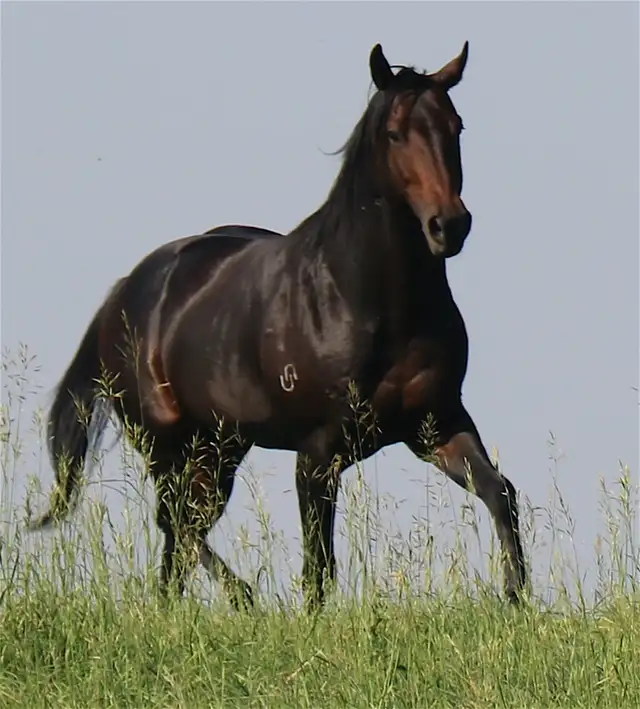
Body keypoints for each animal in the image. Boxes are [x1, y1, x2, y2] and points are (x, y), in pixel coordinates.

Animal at [28, 42, 527, 609]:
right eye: (395, 133)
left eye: (455, 126)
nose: (450, 225)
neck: (367, 302)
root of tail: (123, 292)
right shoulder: (318, 452)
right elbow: (319, 566)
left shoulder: (437, 424)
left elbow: (500, 493)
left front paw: (514, 597)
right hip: (167, 445)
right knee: (177, 521)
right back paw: (240, 597)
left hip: (219, 448)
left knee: (183, 530)